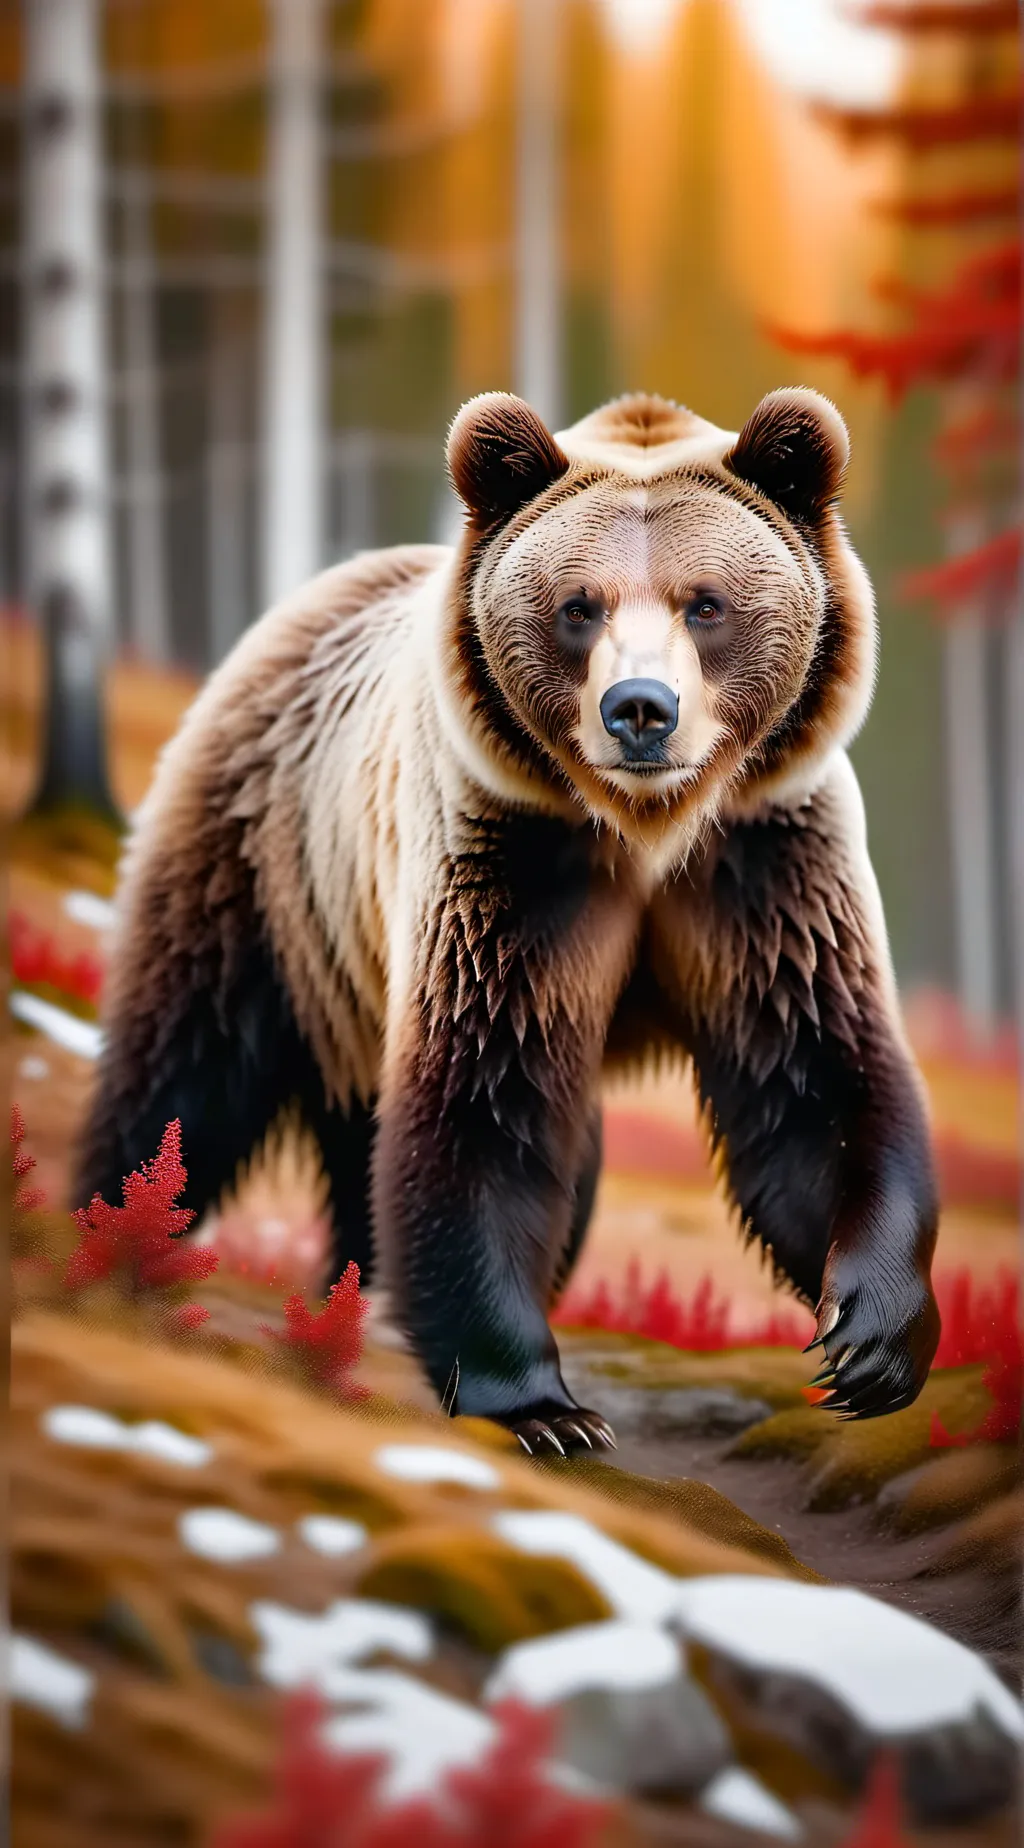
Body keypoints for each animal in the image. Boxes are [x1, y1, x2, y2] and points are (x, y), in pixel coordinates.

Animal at [77, 386, 941, 1453]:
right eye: (578, 605)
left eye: (706, 602)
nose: (641, 709)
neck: (645, 833)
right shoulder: (507, 865)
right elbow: (485, 1095)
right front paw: (542, 1406)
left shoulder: (764, 868)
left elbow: (814, 1077)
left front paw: (871, 1341)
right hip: (269, 868)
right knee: (181, 1067)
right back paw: (114, 1230)